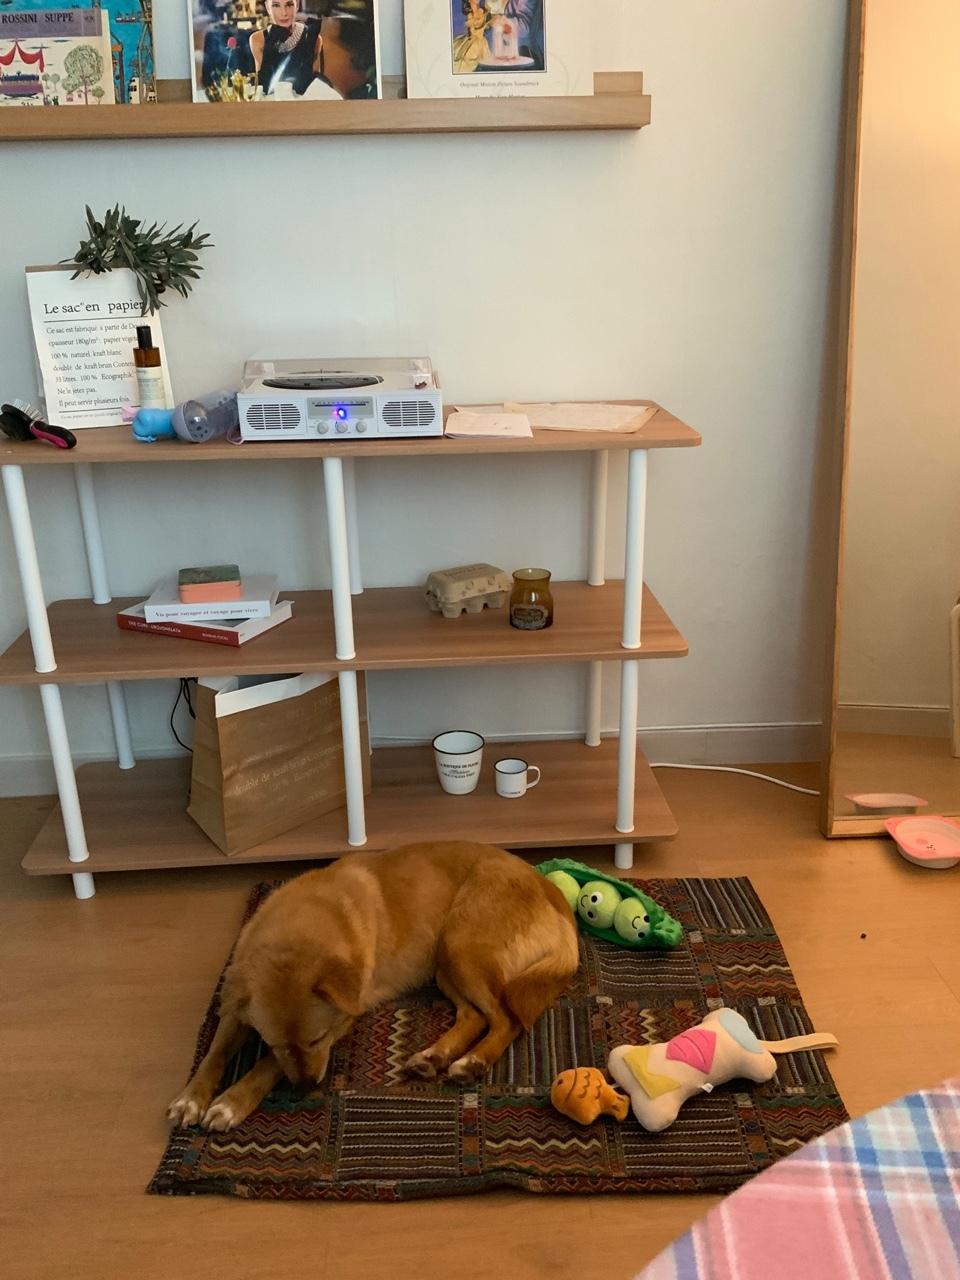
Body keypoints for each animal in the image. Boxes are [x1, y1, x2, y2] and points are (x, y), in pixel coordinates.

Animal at [167, 841, 579, 1132]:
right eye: (272, 1040)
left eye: (317, 1039)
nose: (304, 1088)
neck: (297, 930)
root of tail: (550, 890)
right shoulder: (236, 1006)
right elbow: (215, 1053)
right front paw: (191, 1098)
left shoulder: (343, 1018)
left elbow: (265, 1068)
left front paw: (231, 1101)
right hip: (444, 965)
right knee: (475, 1016)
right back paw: (434, 1057)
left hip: (460, 946)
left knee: (506, 1019)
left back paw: (472, 1062)